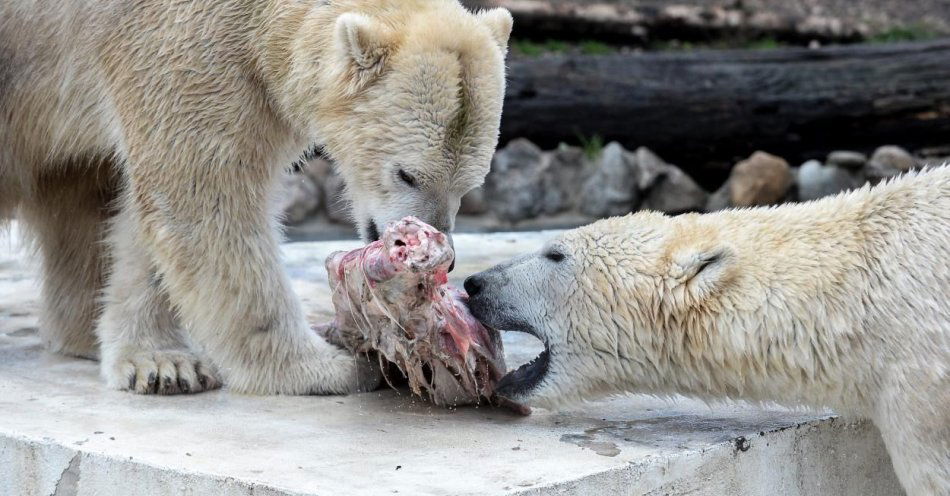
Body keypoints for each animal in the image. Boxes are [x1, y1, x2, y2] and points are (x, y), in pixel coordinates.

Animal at [0, 0, 516, 396]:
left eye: (469, 185)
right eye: (406, 173)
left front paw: (160, 361)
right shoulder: (182, 44)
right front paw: (328, 367)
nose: (440, 252)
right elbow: (202, 198)